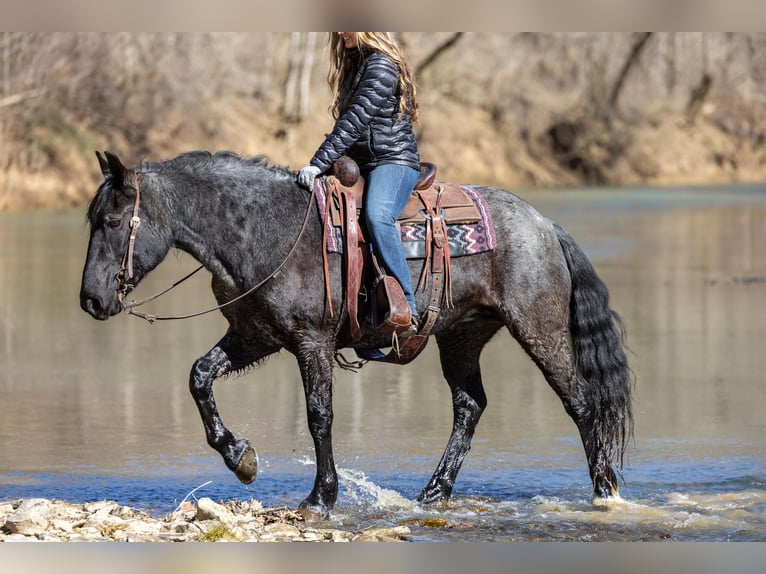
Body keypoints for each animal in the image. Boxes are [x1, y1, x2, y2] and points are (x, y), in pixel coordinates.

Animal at [81, 151, 636, 520]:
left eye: (113, 220)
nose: (91, 300)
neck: (264, 230)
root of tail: (544, 224)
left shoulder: (312, 342)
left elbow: (319, 416)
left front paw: (320, 497)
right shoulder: (254, 336)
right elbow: (199, 376)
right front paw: (241, 457)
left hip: (540, 330)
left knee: (581, 403)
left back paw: (605, 492)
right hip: (462, 336)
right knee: (470, 406)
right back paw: (434, 493)